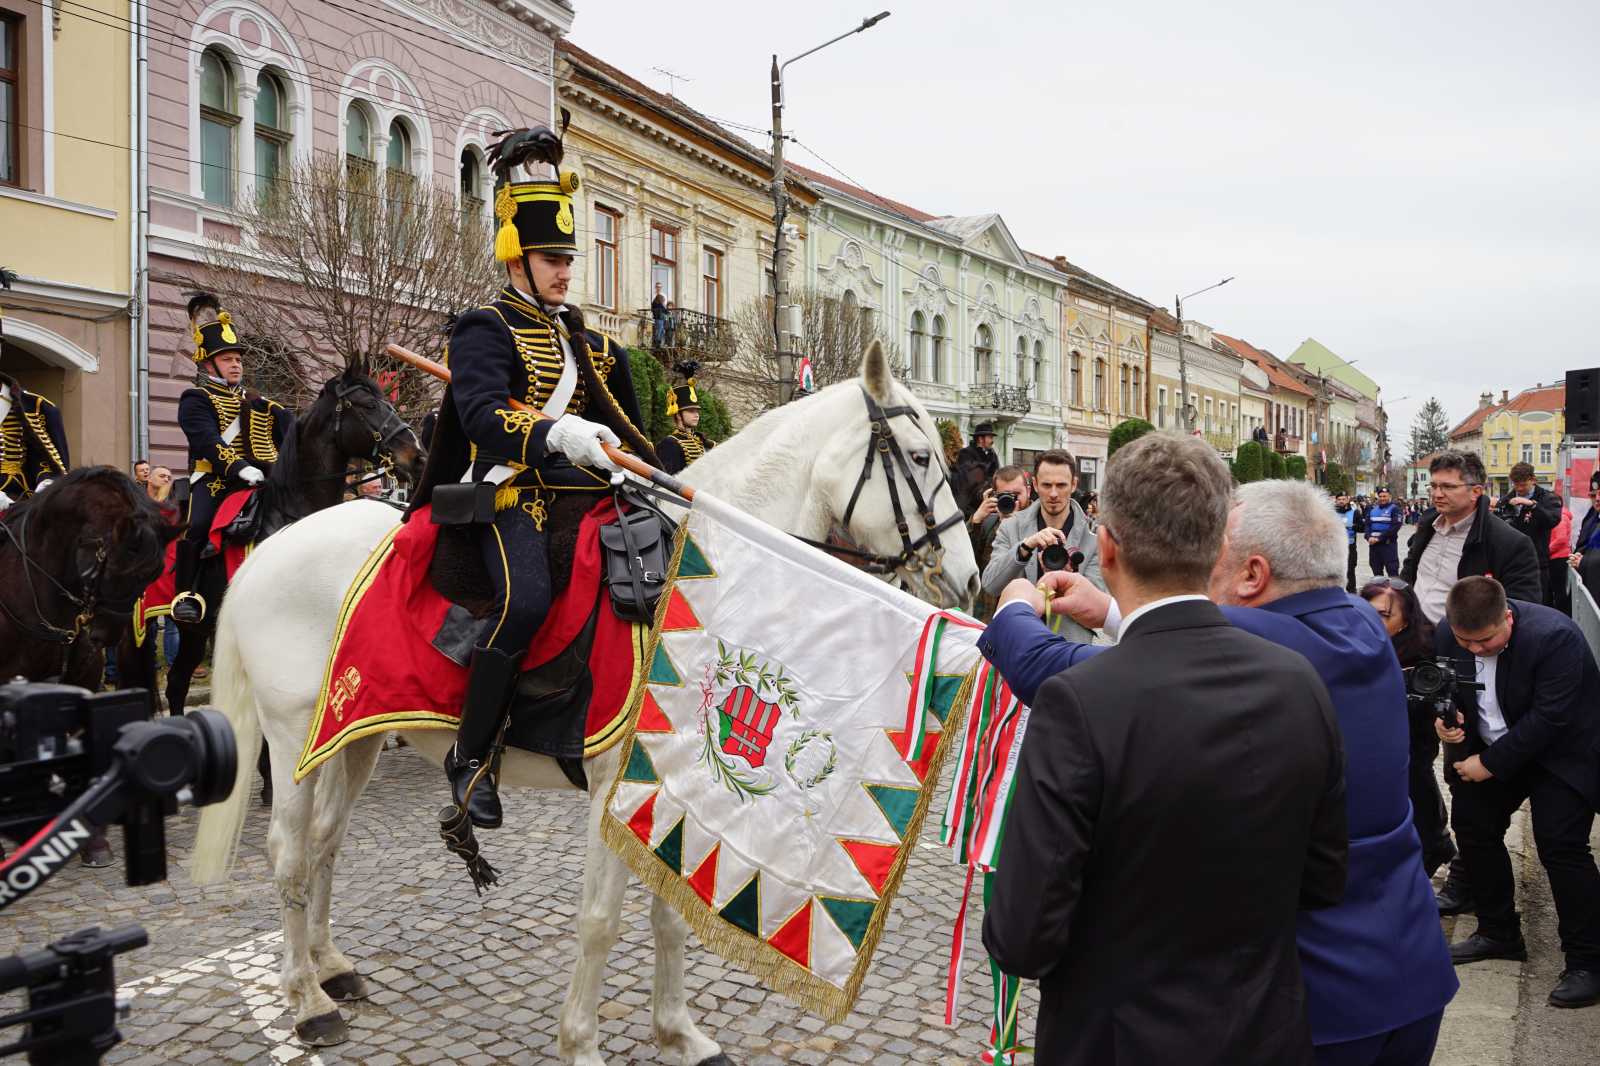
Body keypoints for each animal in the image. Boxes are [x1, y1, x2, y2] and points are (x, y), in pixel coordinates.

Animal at [193, 342, 979, 1062]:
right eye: (918, 456)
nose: (969, 581)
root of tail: (272, 550)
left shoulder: (670, 784)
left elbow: (669, 911)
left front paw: (679, 1033)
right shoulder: (612, 786)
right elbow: (601, 920)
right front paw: (582, 1044)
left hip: (352, 732)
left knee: (325, 841)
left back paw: (332, 968)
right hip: (290, 735)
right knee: (288, 851)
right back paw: (305, 1002)